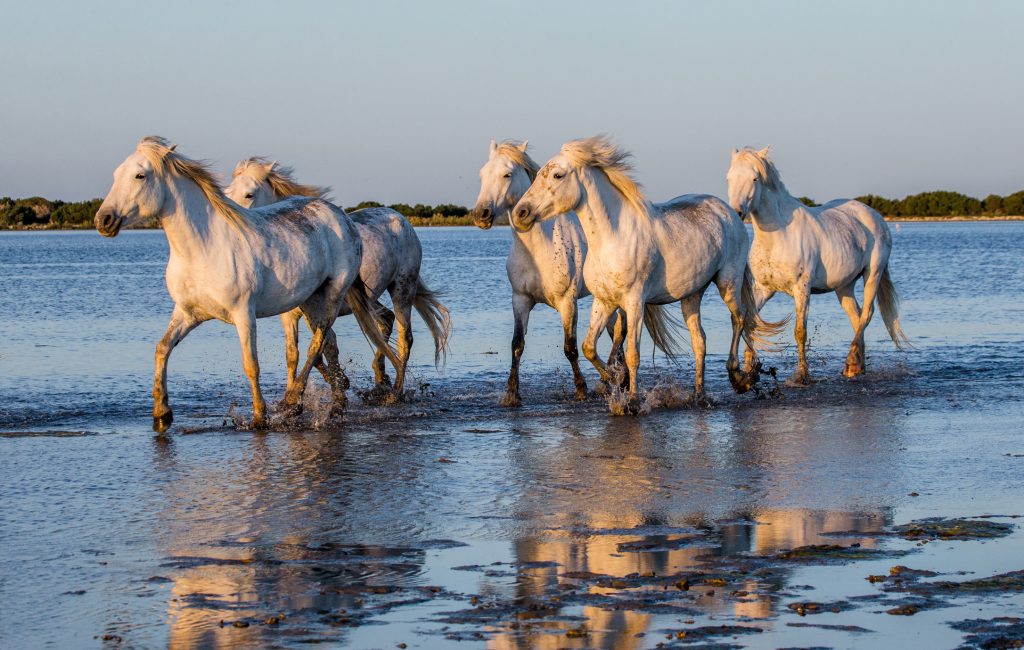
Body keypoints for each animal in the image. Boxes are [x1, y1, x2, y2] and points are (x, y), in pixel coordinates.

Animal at [94, 137, 387, 431]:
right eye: (116, 174)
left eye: (140, 175)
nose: (103, 220)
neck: (203, 249)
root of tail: (341, 216)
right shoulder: (187, 313)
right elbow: (162, 349)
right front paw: (162, 415)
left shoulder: (243, 313)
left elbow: (251, 364)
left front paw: (259, 417)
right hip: (310, 299)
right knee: (326, 343)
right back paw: (334, 406)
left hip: (333, 293)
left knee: (318, 342)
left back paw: (295, 399)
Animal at [228, 158, 452, 401]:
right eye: (227, 191)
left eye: (249, 194)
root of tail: (402, 220)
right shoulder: (289, 316)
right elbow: (296, 355)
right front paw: (302, 393)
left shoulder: (318, 309)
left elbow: (324, 348)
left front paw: (337, 387)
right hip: (370, 299)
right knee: (385, 320)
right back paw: (380, 379)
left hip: (402, 288)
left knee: (404, 338)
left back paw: (395, 392)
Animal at [516, 137, 778, 413]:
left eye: (558, 175)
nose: (521, 213)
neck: (612, 238)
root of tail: (730, 211)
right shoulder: (604, 302)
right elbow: (588, 347)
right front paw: (615, 380)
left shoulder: (634, 302)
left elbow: (632, 353)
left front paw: (631, 400)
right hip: (692, 294)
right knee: (700, 341)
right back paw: (700, 394)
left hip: (728, 281)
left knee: (739, 319)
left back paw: (740, 378)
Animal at [724, 145, 909, 384]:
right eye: (729, 178)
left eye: (755, 178)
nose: (736, 213)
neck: (779, 234)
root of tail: (874, 215)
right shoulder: (764, 289)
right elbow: (751, 322)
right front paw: (748, 371)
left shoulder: (802, 289)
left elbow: (800, 331)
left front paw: (802, 376)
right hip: (844, 286)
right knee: (856, 317)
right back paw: (857, 367)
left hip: (873, 274)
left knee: (866, 314)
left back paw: (851, 362)